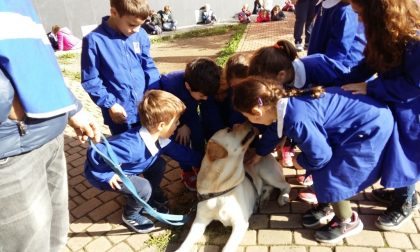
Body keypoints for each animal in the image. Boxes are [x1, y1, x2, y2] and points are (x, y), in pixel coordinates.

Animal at [176, 123, 290, 251]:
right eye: (229, 129)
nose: (248, 122)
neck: (220, 188)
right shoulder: (199, 221)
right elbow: (186, 242)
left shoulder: (240, 223)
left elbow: (227, 247)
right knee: (267, 187)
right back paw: (264, 199)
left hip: (267, 173)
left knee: (285, 185)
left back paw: (283, 197)